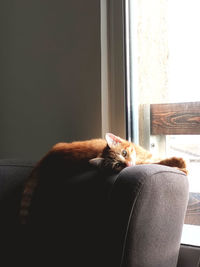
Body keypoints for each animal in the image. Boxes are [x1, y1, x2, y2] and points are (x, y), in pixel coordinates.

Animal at [19, 133, 188, 225]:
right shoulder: (146, 161)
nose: (128, 164)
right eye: (118, 165)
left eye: (124, 153)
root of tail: (48, 155)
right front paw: (180, 166)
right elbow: (162, 161)